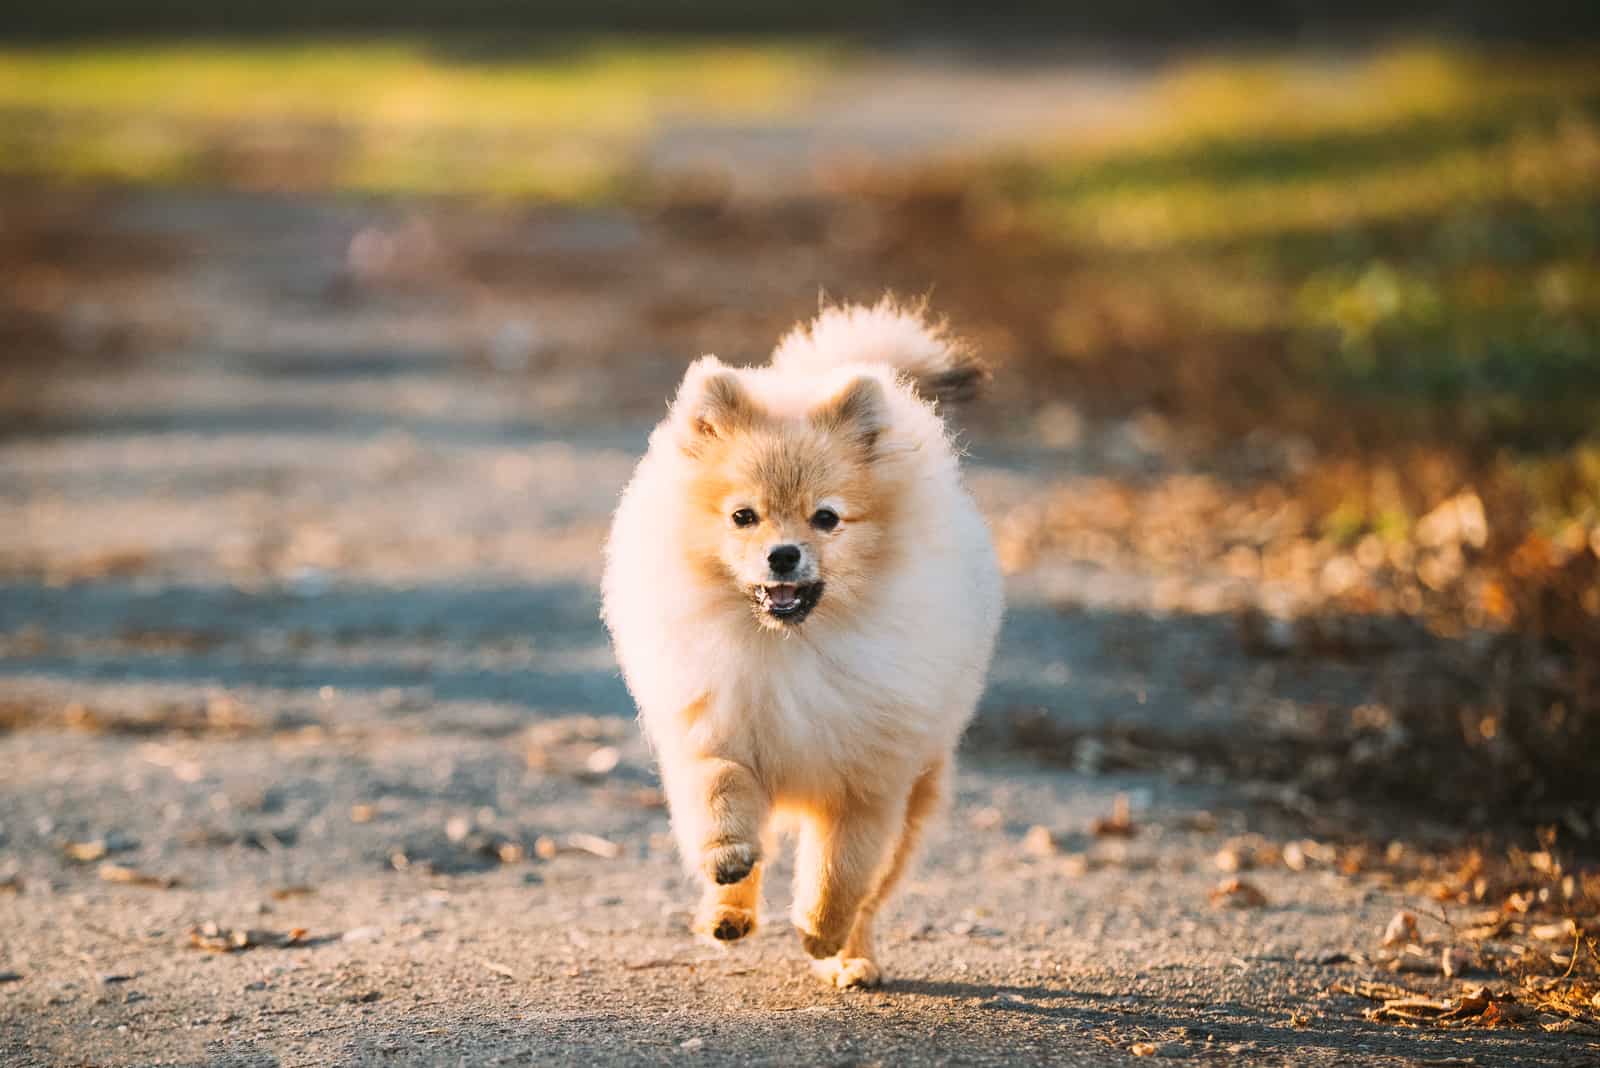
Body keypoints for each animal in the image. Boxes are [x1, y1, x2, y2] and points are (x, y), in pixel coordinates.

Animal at [601, 295, 998, 991]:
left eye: (827, 518)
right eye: (743, 517)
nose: (783, 554)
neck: (787, 647)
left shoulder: (867, 783)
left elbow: (843, 872)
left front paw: (820, 932)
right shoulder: (713, 724)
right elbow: (720, 790)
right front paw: (728, 859)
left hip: (917, 789)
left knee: (875, 890)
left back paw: (853, 957)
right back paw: (727, 914)